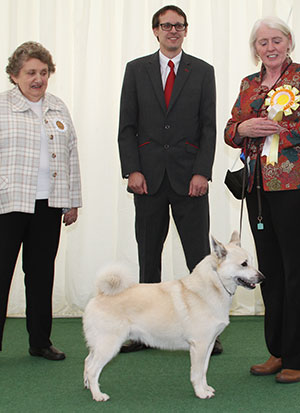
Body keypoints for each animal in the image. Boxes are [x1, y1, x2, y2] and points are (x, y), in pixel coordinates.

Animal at [82, 232, 262, 402]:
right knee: (92, 369)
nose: (262, 277)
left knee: (87, 361)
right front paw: (201, 393)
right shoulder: (199, 346)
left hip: (99, 345)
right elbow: (197, 373)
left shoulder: (209, 344)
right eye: (244, 264)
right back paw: (98, 395)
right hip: (108, 345)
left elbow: (204, 371)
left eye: (252, 261)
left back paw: (88, 386)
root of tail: (100, 294)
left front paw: (206, 388)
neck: (214, 286)